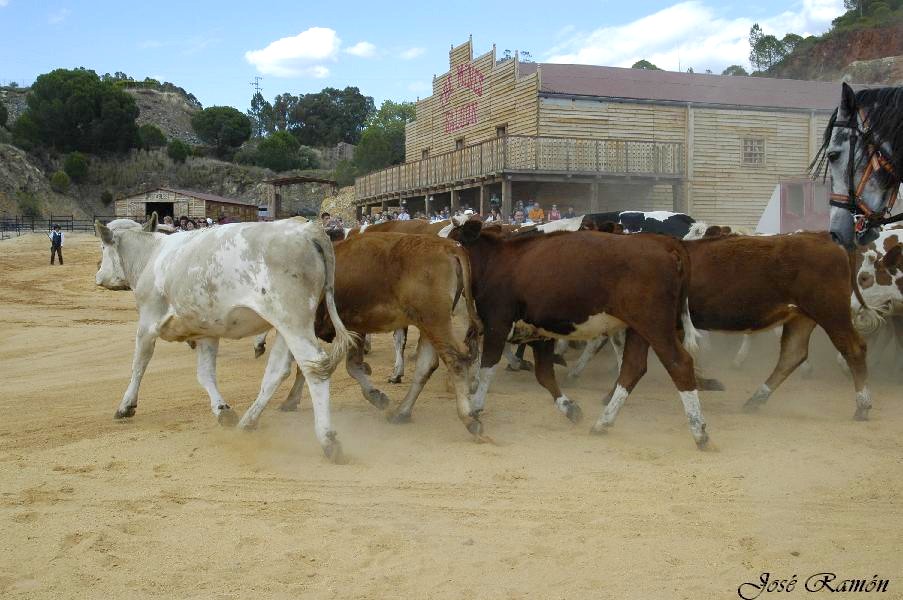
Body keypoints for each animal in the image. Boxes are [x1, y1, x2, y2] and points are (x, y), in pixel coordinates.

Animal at [95, 213, 354, 462]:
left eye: (102, 248)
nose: (98, 273)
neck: (150, 255)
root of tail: (307, 228)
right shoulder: (206, 331)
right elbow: (205, 374)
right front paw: (223, 410)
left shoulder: (147, 323)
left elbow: (139, 365)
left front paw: (126, 405)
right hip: (286, 326)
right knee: (277, 370)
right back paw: (248, 421)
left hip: (293, 320)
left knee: (314, 366)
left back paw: (328, 440)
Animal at [240, 232, 488, 438]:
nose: (257, 347)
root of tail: (449, 246)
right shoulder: (353, 329)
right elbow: (339, 366)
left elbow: (316, 367)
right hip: (428, 325)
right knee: (426, 366)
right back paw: (401, 412)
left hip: (435, 322)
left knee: (456, 360)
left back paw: (469, 419)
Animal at [448, 220, 708, 450]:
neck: (495, 262)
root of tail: (664, 243)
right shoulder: (540, 333)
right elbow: (544, 375)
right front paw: (569, 407)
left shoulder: (497, 325)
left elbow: (488, 368)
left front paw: (475, 406)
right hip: (639, 329)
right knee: (632, 368)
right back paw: (603, 422)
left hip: (655, 326)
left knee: (679, 364)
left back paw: (699, 432)